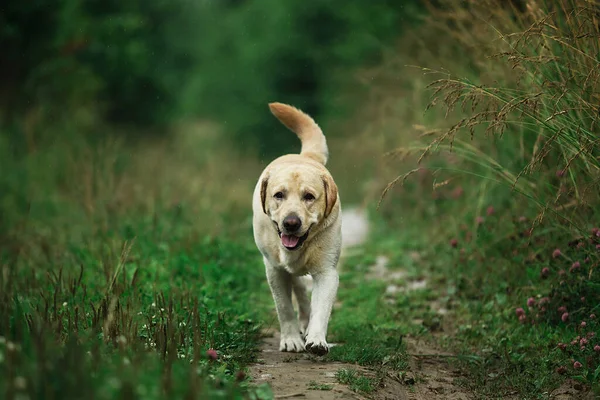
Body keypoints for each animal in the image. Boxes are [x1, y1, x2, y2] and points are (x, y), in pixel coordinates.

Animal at [251, 101, 340, 354]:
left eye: (309, 196)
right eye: (279, 195)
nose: (291, 223)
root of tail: (305, 156)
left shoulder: (327, 272)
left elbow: (321, 309)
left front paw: (317, 339)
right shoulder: (274, 270)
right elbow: (284, 307)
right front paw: (291, 339)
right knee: (298, 288)